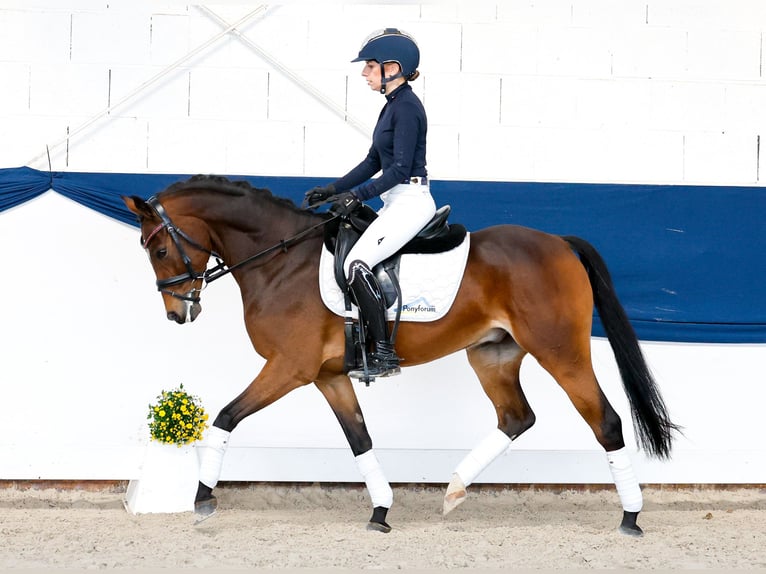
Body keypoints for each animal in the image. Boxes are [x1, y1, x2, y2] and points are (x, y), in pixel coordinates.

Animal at [123, 174, 678, 537]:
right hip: (492, 356)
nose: (177, 313)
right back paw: (453, 490)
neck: (282, 260)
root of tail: (559, 243)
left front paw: (202, 497)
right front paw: (381, 511)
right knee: (516, 417)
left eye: (159, 250)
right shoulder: (327, 375)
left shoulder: (289, 368)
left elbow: (226, 416)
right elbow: (359, 439)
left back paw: (631, 518)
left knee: (605, 421)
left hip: (561, 352)